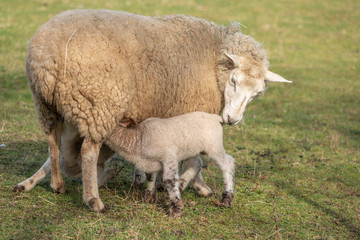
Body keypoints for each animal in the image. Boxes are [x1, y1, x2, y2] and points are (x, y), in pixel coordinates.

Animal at [16, 8, 290, 212]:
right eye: (234, 81)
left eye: (258, 93)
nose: (232, 119)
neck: (214, 63)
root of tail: (47, 58)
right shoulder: (192, 113)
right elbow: (195, 160)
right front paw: (193, 185)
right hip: (98, 105)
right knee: (88, 152)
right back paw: (93, 199)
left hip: (48, 106)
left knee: (54, 145)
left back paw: (54, 184)